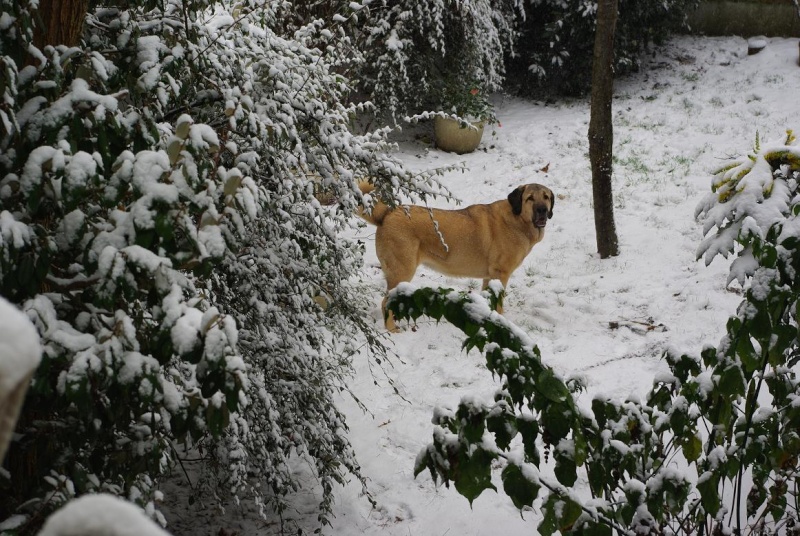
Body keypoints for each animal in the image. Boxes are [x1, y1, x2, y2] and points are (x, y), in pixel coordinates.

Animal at [358, 181, 552, 330]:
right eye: (530, 198)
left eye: (546, 197)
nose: (542, 210)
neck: (518, 219)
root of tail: (388, 213)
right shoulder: (500, 274)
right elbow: (498, 304)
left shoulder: (489, 276)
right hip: (402, 271)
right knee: (385, 303)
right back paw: (392, 330)